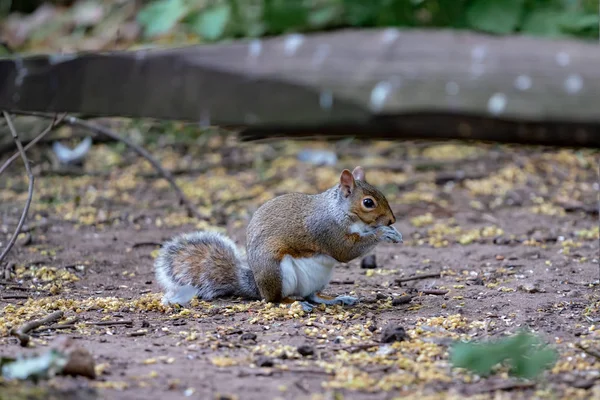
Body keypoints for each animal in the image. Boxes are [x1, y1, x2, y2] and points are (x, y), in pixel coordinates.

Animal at [156, 166, 404, 312]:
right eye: (368, 202)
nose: (392, 219)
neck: (339, 211)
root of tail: (257, 287)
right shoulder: (326, 229)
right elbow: (345, 251)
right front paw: (384, 233)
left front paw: (394, 231)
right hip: (276, 271)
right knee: (274, 299)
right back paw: (293, 303)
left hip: (320, 277)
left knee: (313, 295)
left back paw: (335, 299)